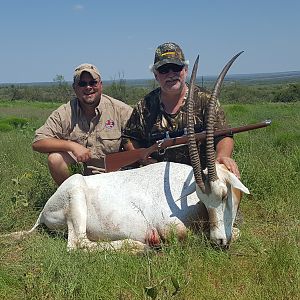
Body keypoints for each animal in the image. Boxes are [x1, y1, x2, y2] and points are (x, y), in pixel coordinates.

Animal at [3, 52, 250, 251]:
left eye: (224, 195)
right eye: (204, 197)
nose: (219, 241)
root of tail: (43, 211)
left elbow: (238, 232)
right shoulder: (171, 227)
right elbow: (186, 236)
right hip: (76, 198)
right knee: (77, 244)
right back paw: (137, 247)